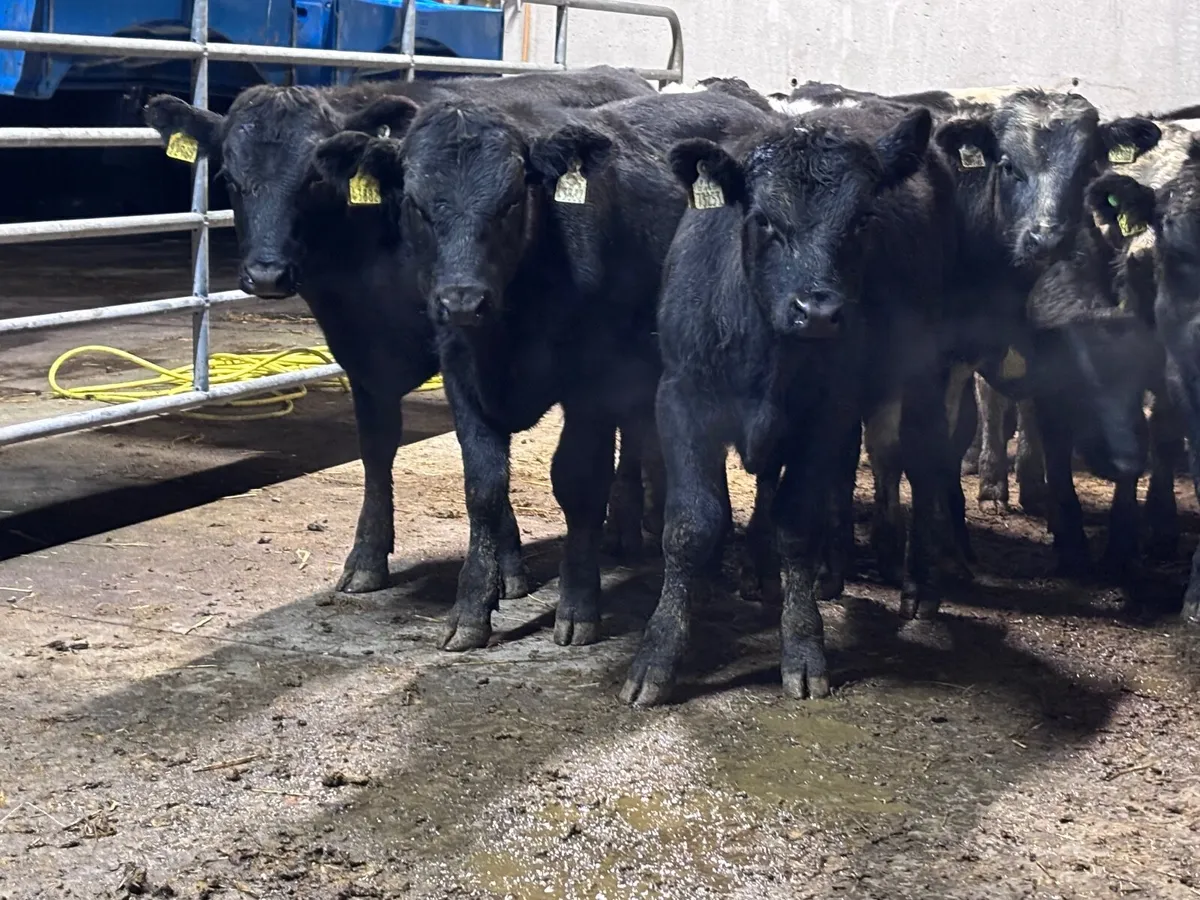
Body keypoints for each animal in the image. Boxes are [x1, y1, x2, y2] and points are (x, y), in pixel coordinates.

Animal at [143, 67, 653, 598]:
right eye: (229, 178)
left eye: (312, 178)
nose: (266, 275)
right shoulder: (359, 356)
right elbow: (377, 447)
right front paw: (366, 556)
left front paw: (508, 567)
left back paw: (625, 524)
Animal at [311, 87, 778, 651]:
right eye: (415, 205)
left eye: (511, 200)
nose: (463, 301)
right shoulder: (460, 374)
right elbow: (483, 488)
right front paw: (471, 608)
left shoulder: (592, 384)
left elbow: (577, 483)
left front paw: (578, 606)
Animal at [620, 102, 944, 706]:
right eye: (764, 219)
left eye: (862, 219)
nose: (817, 311)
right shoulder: (681, 399)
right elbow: (691, 524)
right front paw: (658, 654)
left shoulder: (829, 413)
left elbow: (797, 523)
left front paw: (803, 648)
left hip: (926, 376)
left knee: (926, 464)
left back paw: (921, 585)